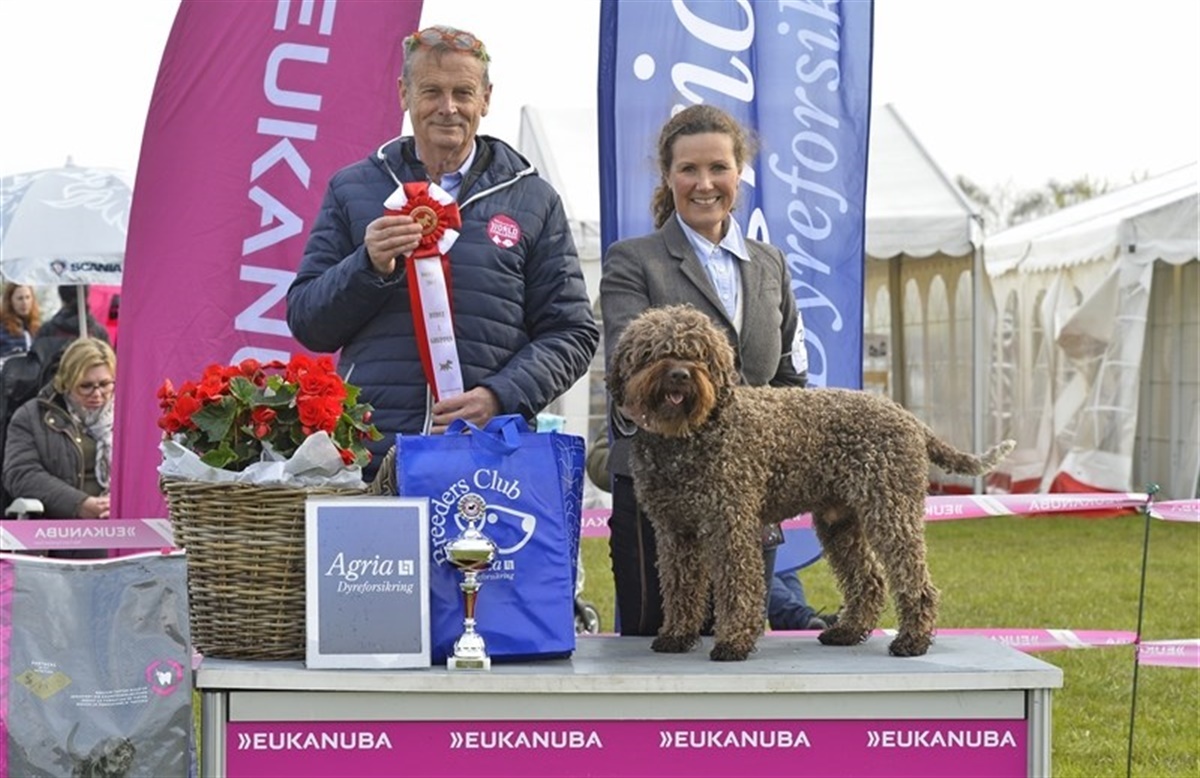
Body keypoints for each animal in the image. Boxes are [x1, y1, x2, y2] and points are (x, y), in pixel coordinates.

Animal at [607, 304, 1015, 661]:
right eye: (654, 353)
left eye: (700, 355)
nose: (680, 374)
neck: (690, 433)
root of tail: (910, 419)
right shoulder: (676, 532)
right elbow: (680, 586)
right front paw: (677, 635)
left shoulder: (730, 525)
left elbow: (738, 586)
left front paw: (734, 641)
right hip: (841, 523)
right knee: (869, 581)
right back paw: (847, 631)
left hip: (891, 513)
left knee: (915, 581)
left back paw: (912, 640)